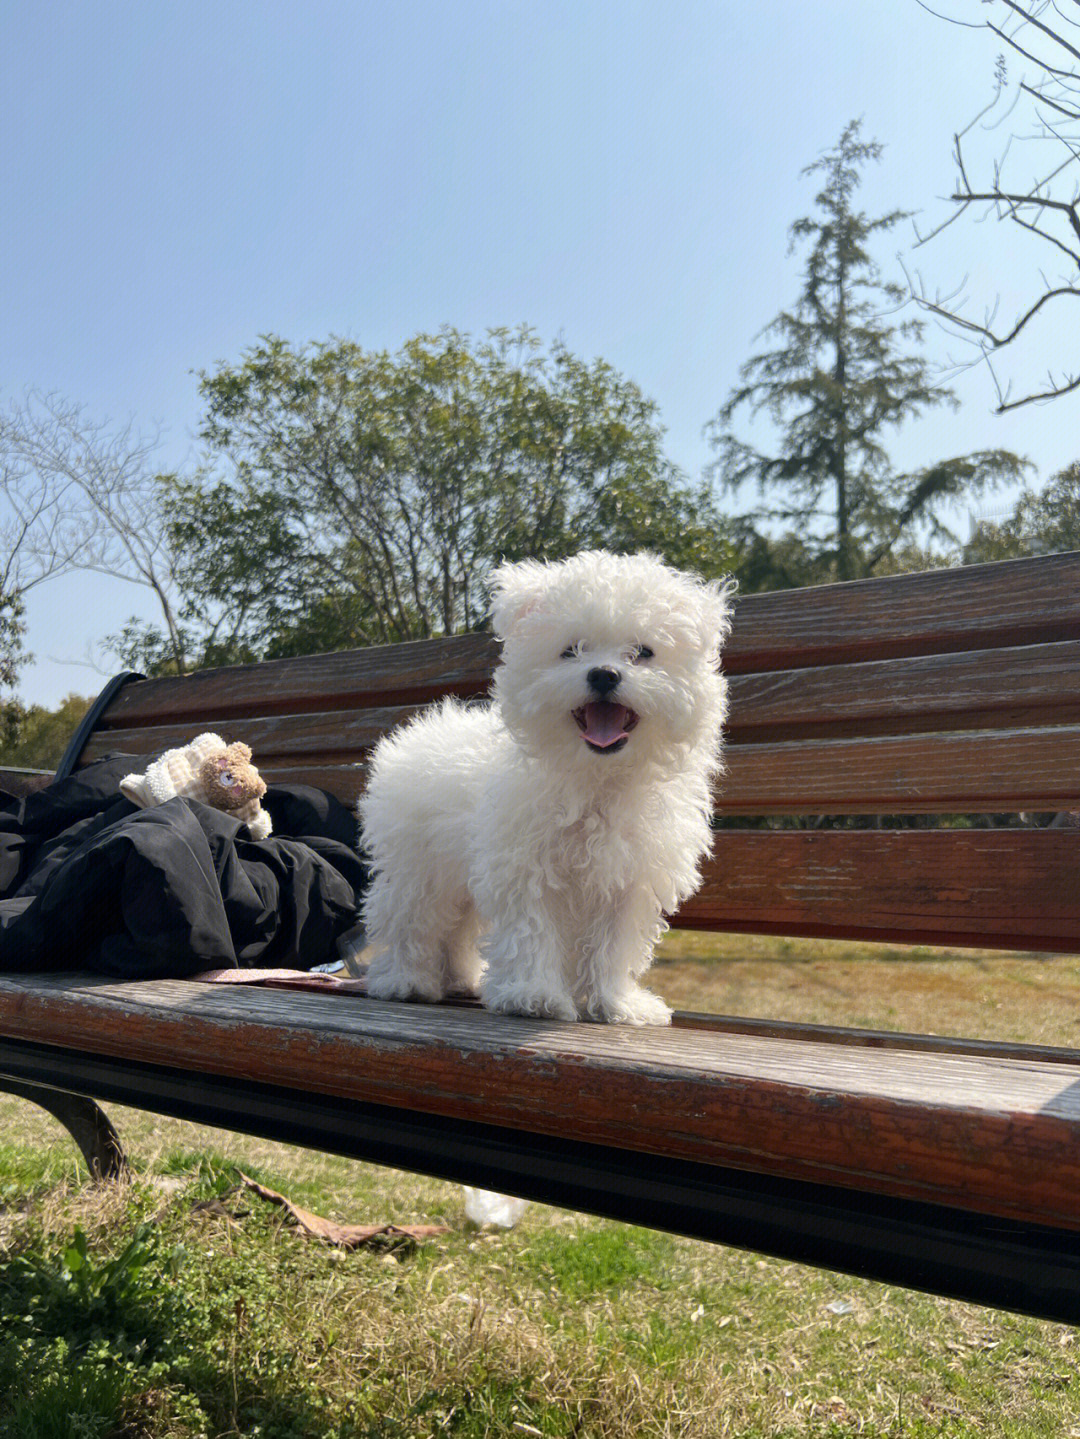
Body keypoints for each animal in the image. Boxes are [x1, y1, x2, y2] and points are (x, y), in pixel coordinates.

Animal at [359, 546, 730, 1024]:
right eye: (570, 651)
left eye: (643, 652)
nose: (604, 674)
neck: (595, 777)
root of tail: (421, 730)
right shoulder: (523, 866)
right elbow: (531, 932)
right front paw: (534, 995)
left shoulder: (628, 880)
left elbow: (614, 945)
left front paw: (618, 1003)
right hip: (418, 867)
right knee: (412, 921)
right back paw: (406, 981)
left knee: (457, 928)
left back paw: (460, 979)